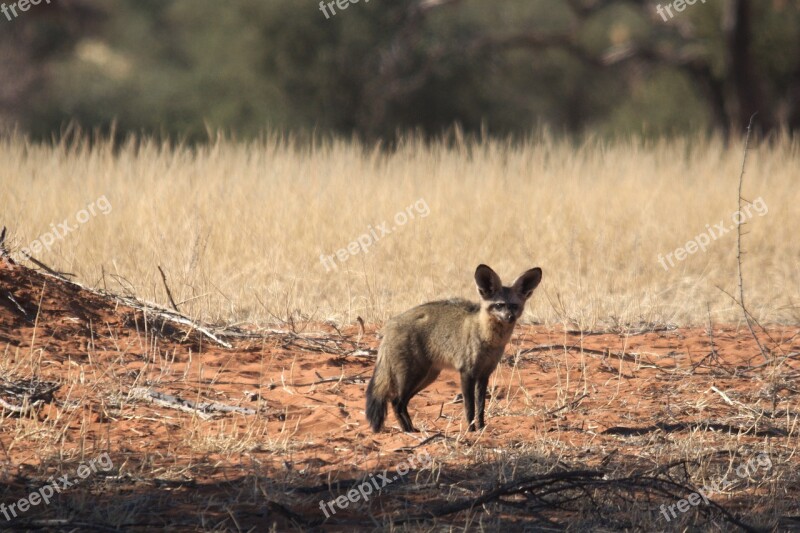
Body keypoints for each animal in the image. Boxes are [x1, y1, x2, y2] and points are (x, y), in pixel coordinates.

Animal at [364, 264, 540, 430]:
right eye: (499, 305)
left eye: (514, 306)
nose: (510, 317)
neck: (488, 340)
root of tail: (390, 325)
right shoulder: (467, 373)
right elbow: (469, 408)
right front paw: (471, 430)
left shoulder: (484, 375)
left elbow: (480, 408)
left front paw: (481, 428)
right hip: (413, 375)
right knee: (395, 401)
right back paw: (408, 431)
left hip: (428, 376)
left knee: (402, 403)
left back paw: (412, 430)